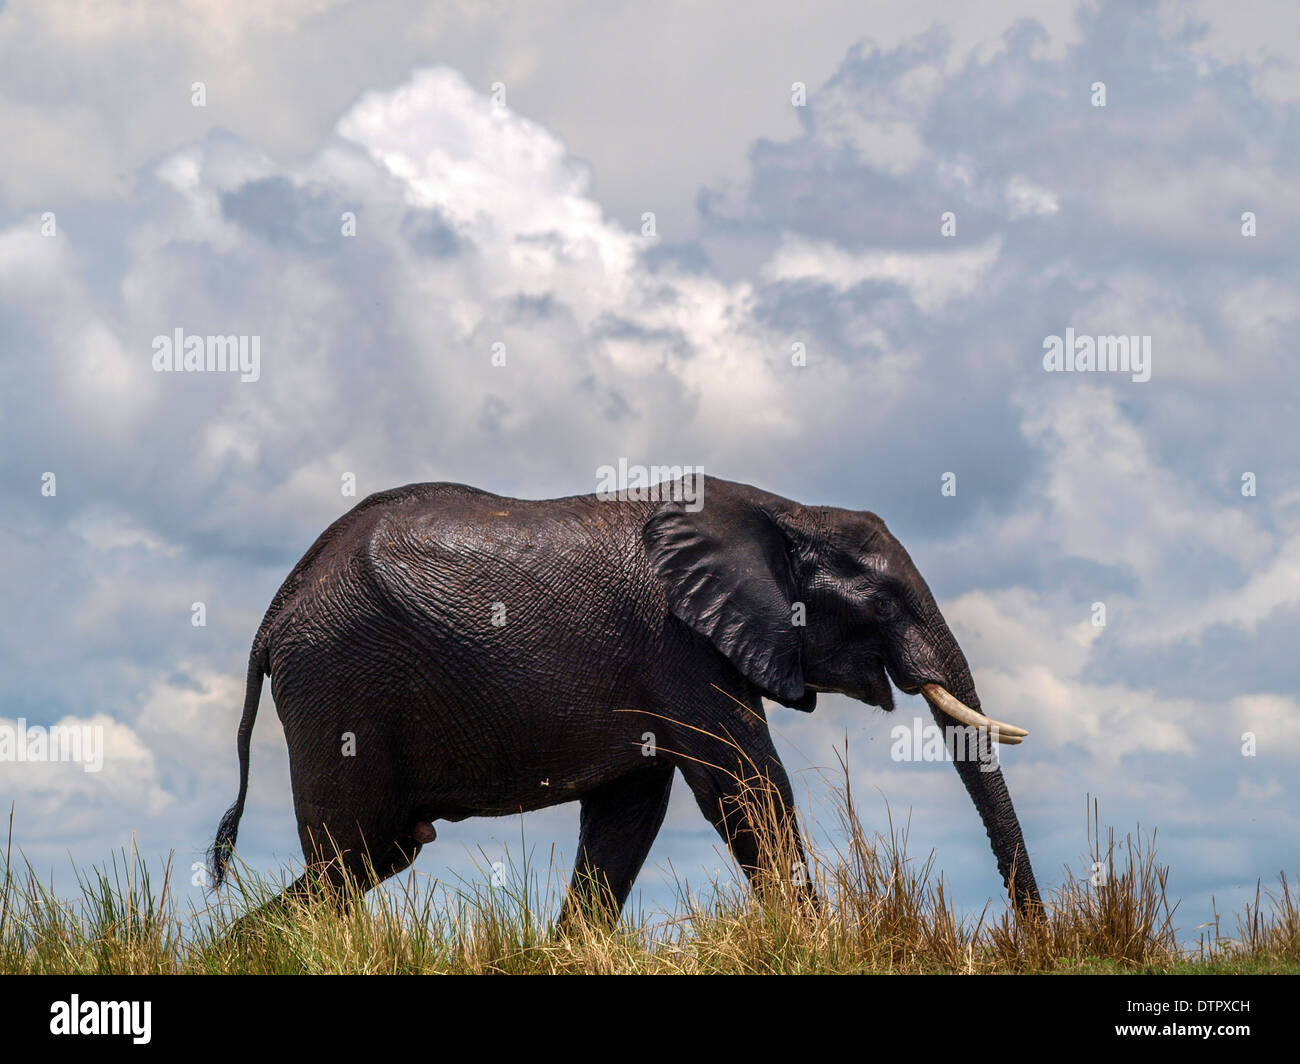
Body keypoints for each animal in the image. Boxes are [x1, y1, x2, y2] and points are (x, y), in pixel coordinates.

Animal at [213, 473, 1040, 920]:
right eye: (885, 601)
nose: (1033, 934)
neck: (781, 510)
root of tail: (274, 615)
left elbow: (629, 814)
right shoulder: (677, 644)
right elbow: (746, 788)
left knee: (372, 857)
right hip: (339, 688)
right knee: (348, 858)